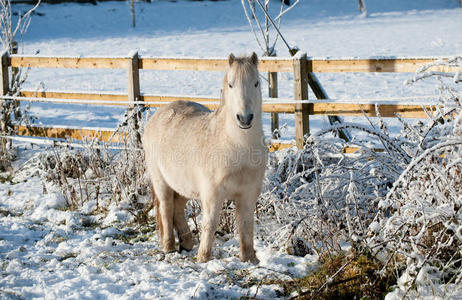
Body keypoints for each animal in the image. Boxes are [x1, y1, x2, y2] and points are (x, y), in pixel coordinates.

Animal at [143, 53, 268, 262]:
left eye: (256, 83)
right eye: (231, 84)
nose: (245, 119)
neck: (236, 146)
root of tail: (159, 113)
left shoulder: (248, 194)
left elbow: (246, 226)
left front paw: (250, 259)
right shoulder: (212, 194)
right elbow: (210, 224)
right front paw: (204, 258)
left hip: (183, 185)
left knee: (178, 208)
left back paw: (186, 244)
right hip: (161, 181)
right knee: (166, 208)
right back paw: (169, 247)